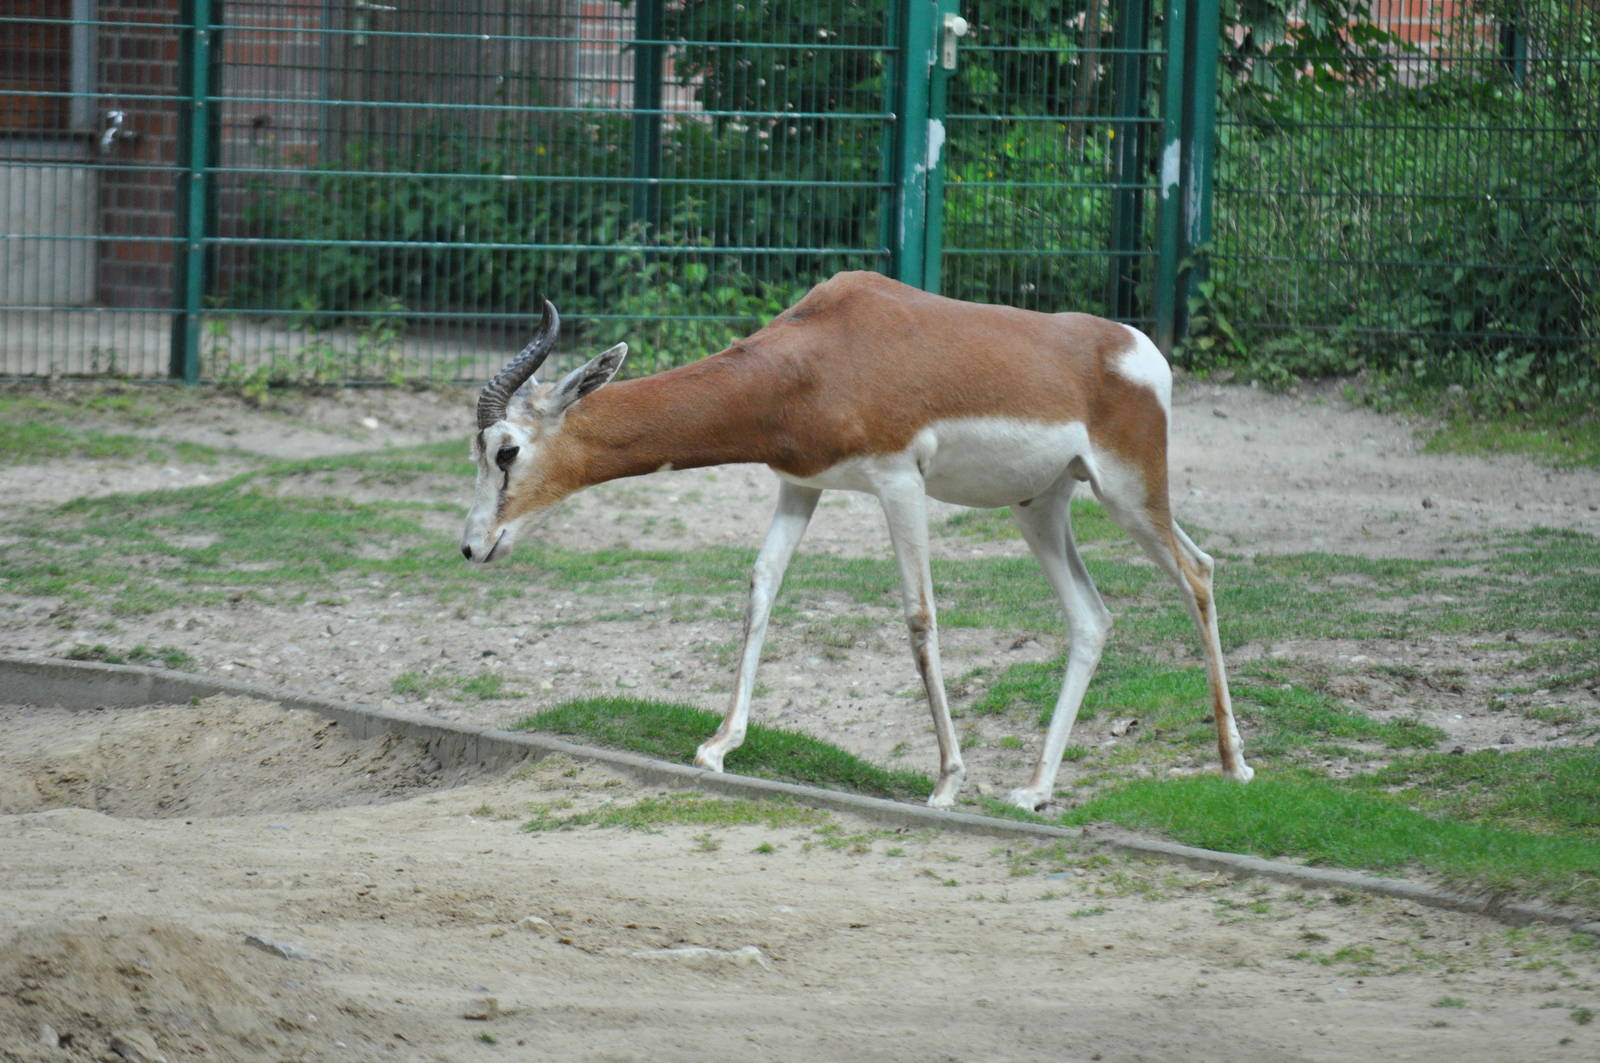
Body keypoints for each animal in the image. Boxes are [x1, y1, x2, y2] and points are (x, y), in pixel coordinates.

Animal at [461, 271, 1252, 810]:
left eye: (506, 450)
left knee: (1199, 570)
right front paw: (718, 747)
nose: (473, 548)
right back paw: (1033, 790)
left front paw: (947, 781)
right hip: (1041, 506)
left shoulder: (898, 481)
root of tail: (1140, 348)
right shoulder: (799, 485)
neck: (816, 357)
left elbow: (919, 617)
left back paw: (1234, 766)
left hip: (1127, 491)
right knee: (1093, 616)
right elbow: (761, 589)